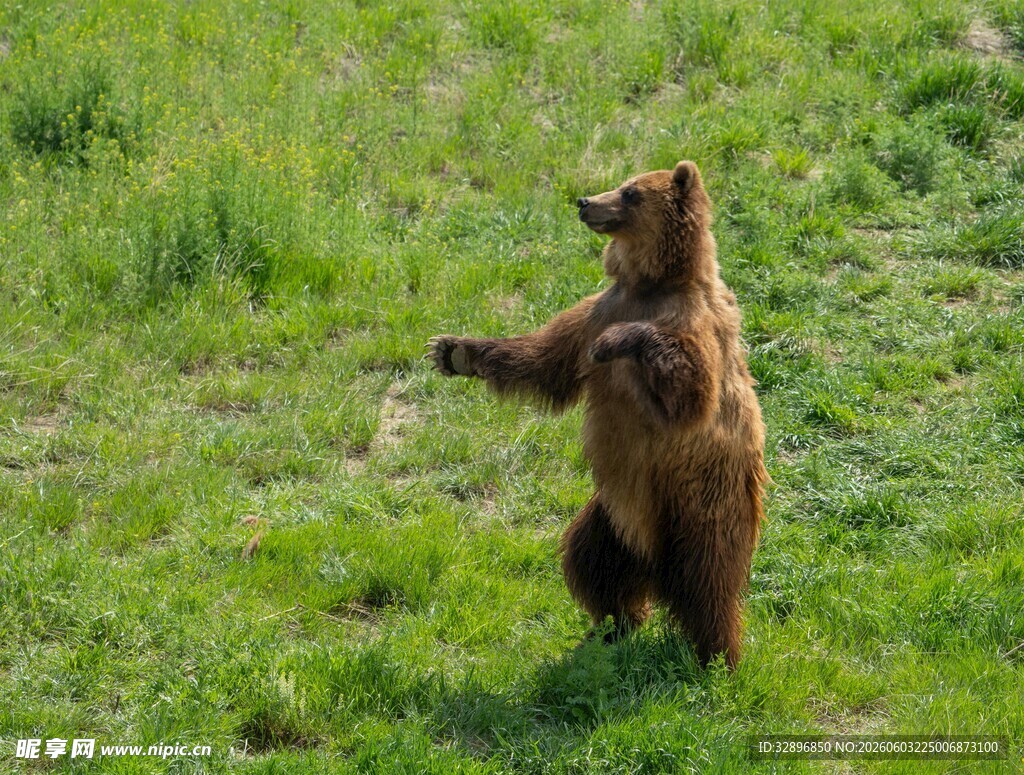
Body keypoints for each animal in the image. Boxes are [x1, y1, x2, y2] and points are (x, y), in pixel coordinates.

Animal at [428, 161, 767, 668]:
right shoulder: (599, 308)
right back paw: (611, 627)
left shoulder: (692, 321)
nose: (586, 201)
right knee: (591, 560)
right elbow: (546, 359)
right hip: (612, 518)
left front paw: (617, 342)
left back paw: (716, 657)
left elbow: (691, 394)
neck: (651, 283)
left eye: (630, 193)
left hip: (701, 504)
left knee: (710, 581)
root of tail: (655, 568)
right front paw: (454, 351)